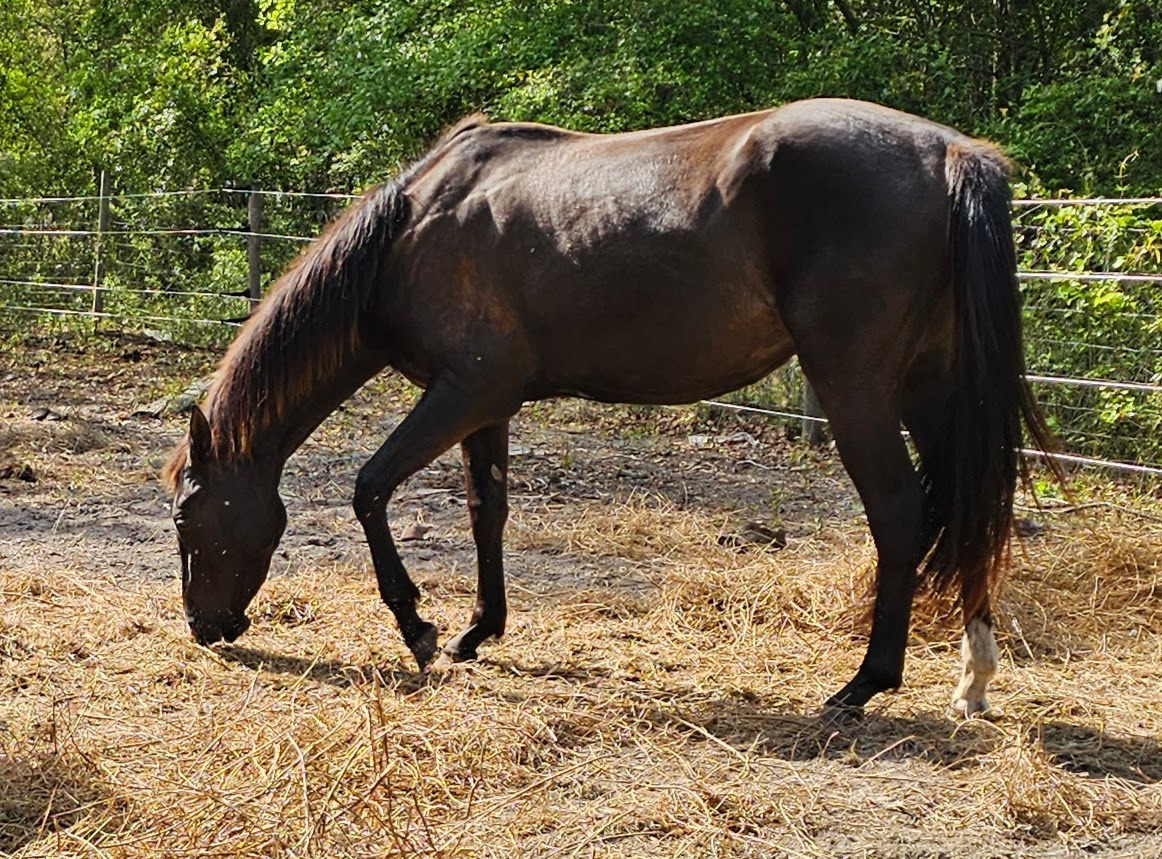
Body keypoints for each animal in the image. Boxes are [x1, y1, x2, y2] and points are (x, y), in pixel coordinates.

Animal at [163, 98, 1057, 717]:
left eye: (185, 515)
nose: (207, 627)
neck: (409, 233)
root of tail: (950, 154)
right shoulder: (487, 403)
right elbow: (487, 510)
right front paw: (477, 631)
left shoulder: (463, 390)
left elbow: (370, 488)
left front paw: (418, 629)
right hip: (933, 384)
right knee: (970, 507)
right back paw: (973, 678)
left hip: (857, 385)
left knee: (902, 513)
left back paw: (863, 684)